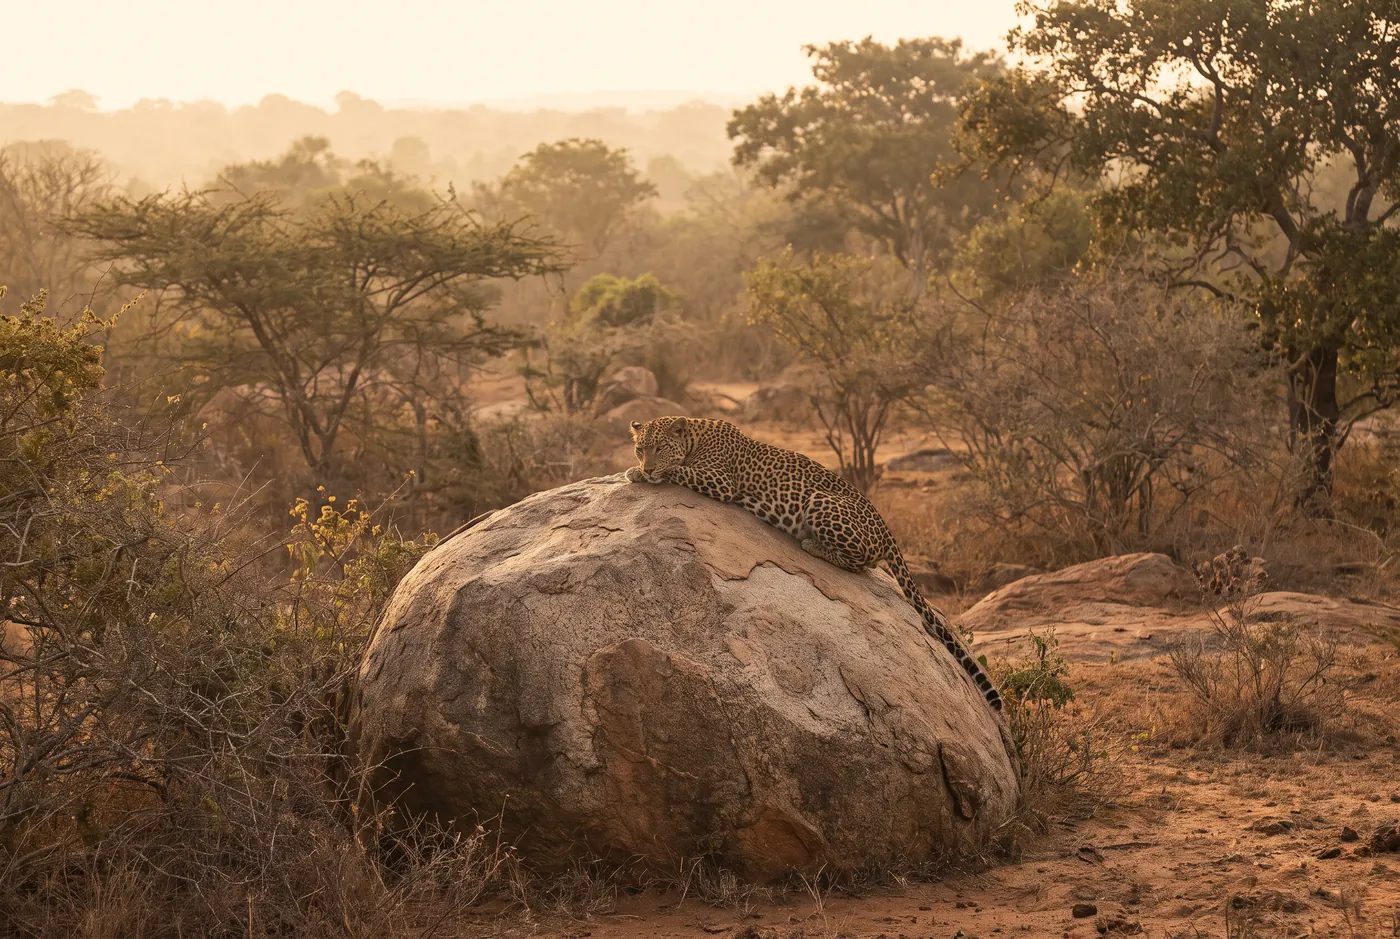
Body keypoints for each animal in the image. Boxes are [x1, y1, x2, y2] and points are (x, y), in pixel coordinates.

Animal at [626, 415, 1003, 712]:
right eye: (640, 448)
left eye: (659, 448)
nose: (646, 465)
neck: (694, 436)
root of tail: (887, 530)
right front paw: (638, 472)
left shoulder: (720, 482)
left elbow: (678, 470)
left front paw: (642, 474)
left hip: (821, 501)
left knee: (860, 564)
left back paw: (811, 544)